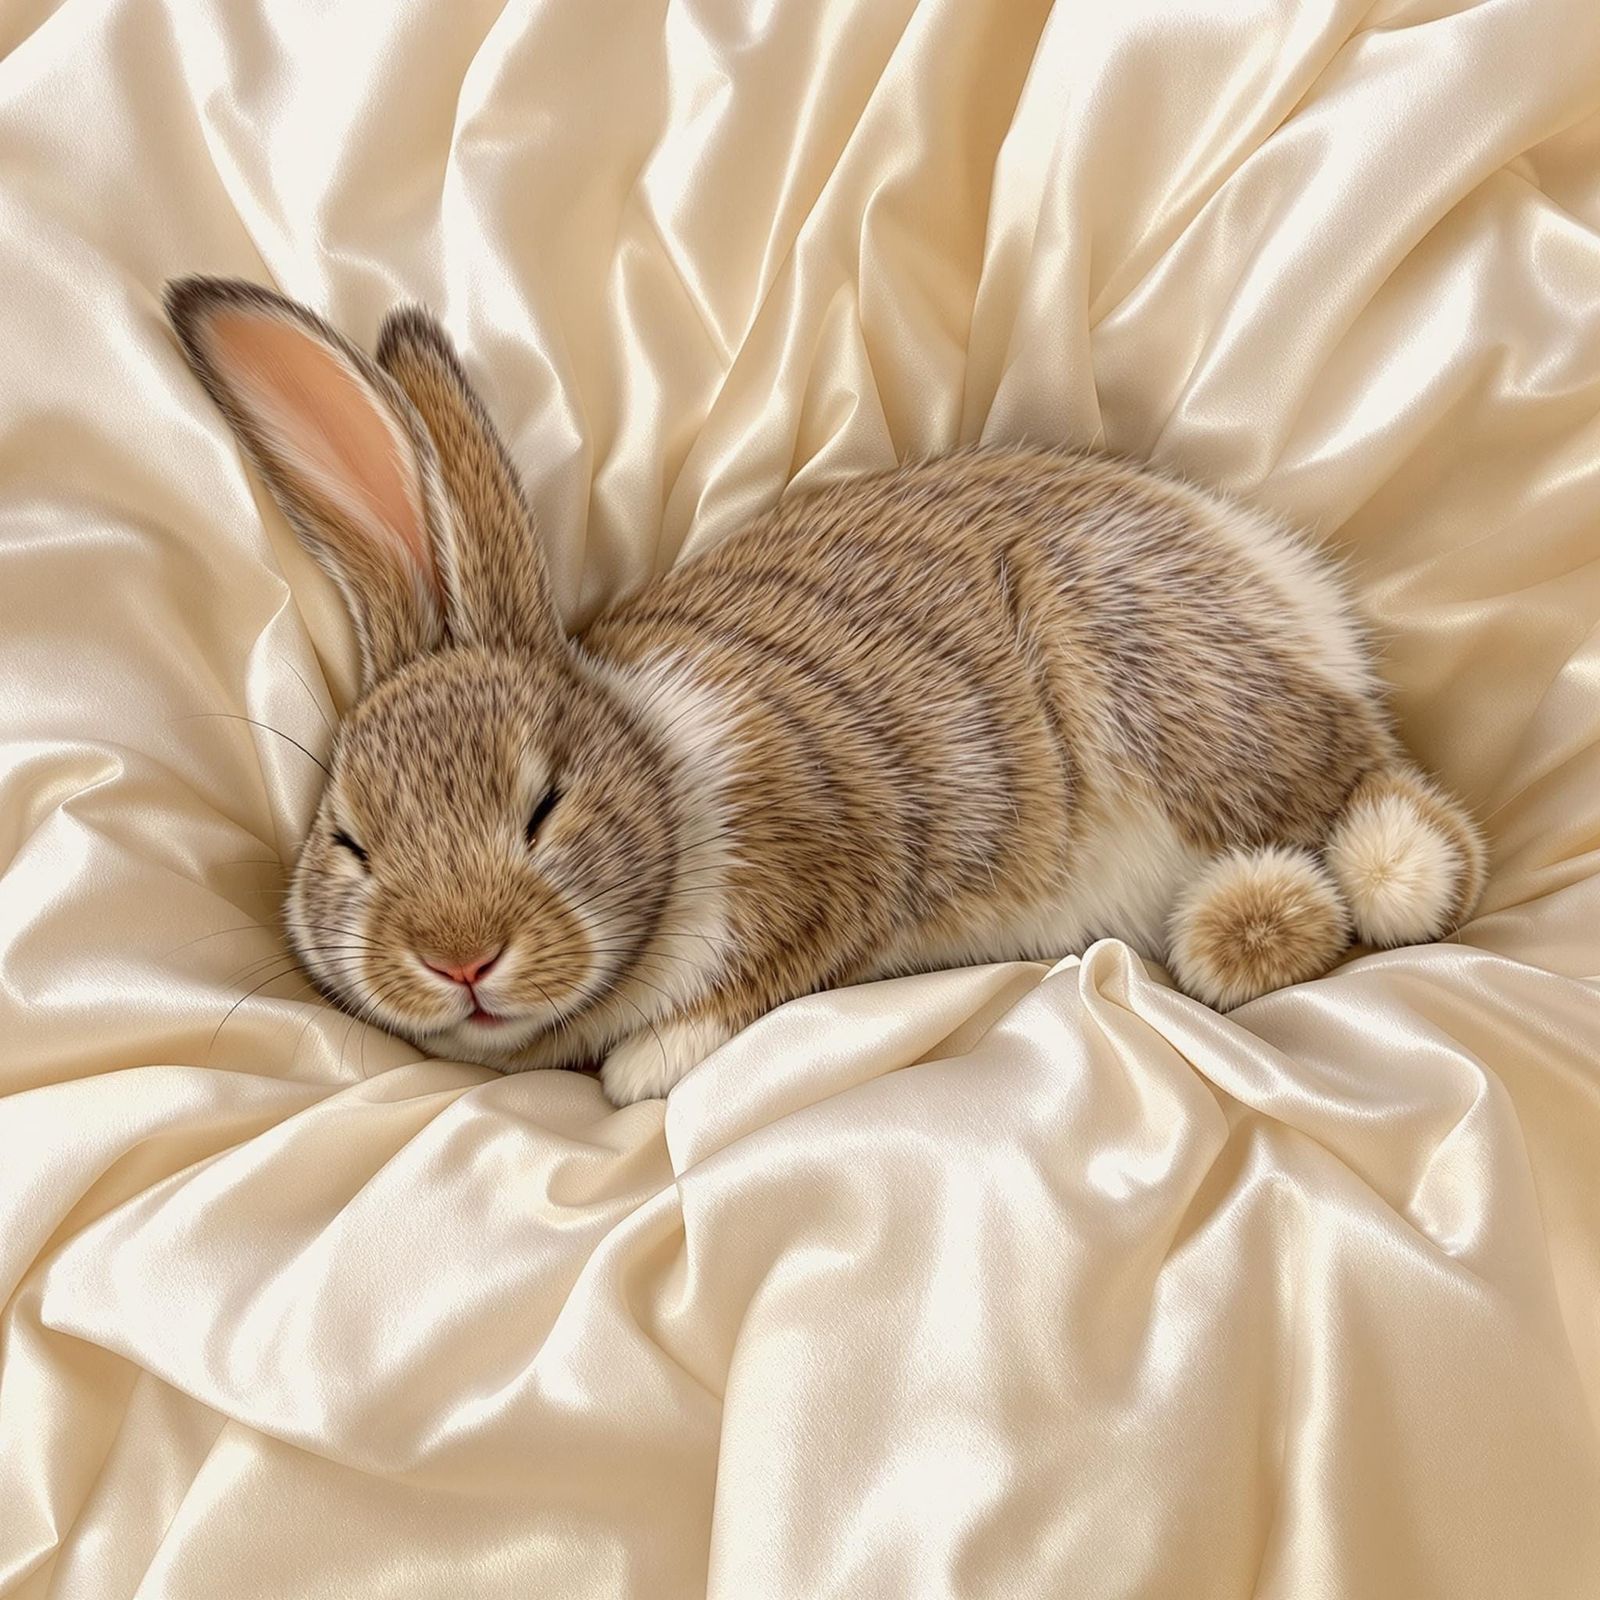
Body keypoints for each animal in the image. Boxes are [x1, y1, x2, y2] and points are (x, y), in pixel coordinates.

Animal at [165, 277, 1485, 1106]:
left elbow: (771, 972)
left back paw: (1331, 893)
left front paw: (649, 1066)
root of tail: (1283, 580)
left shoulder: (836, 856)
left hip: (1183, 690)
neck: (658, 778)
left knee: (1395, 804)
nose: (461, 960)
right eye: (350, 841)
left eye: (545, 806)